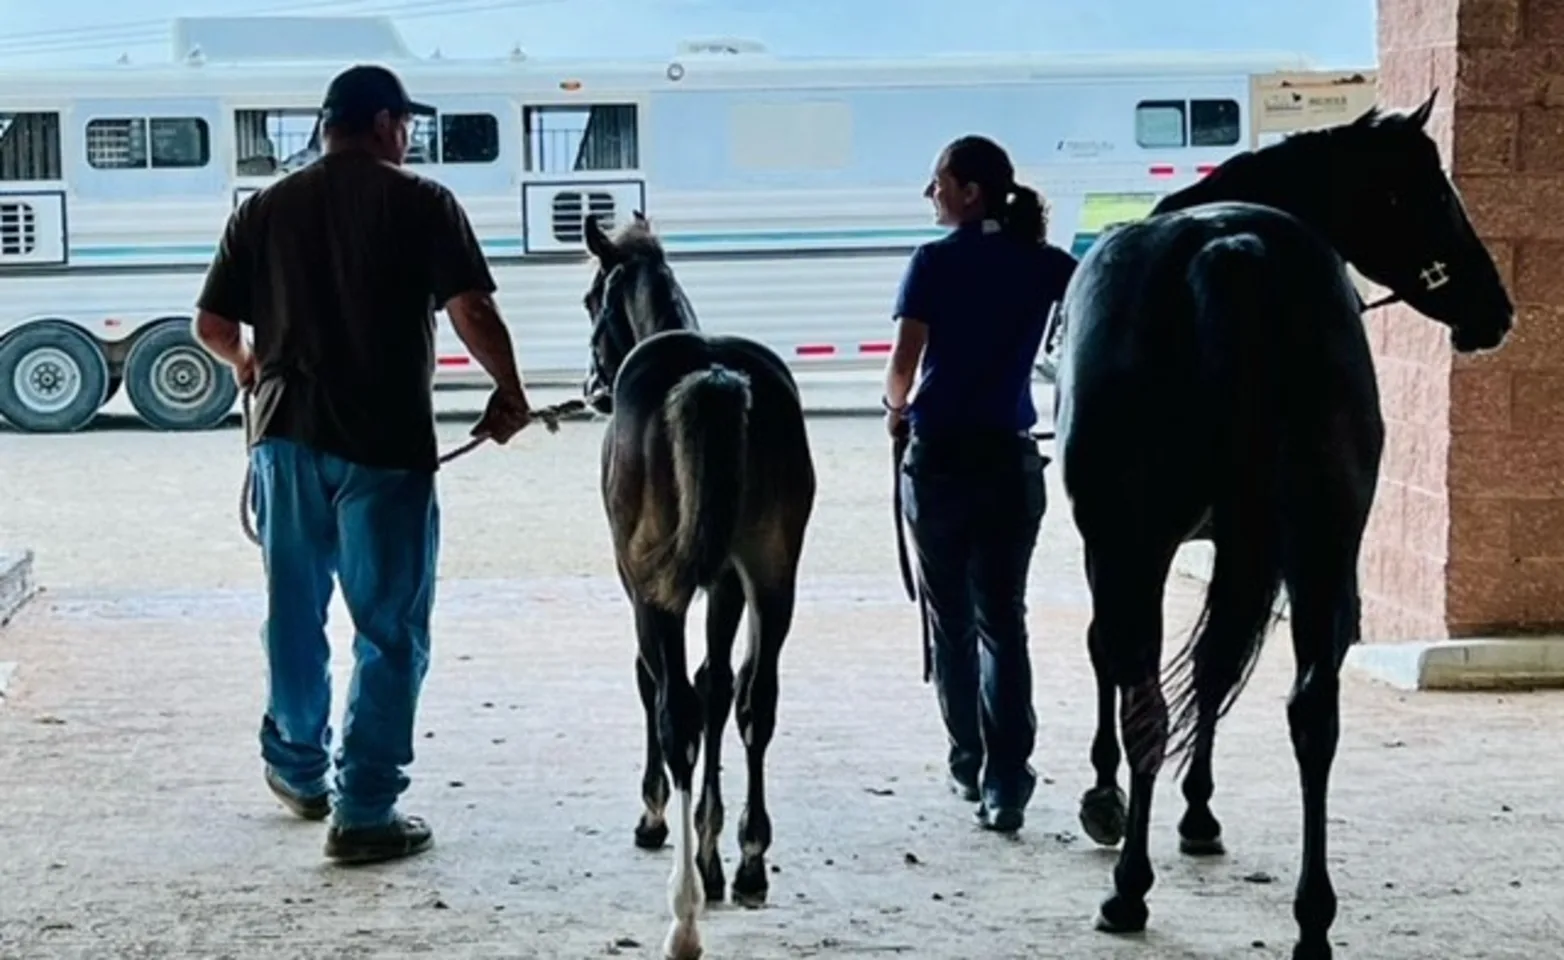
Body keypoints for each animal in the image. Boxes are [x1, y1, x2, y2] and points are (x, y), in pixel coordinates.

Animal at [581, 214, 813, 956]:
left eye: (592, 300)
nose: (592, 388)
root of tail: (712, 376)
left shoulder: (641, 584)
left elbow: (657, 683)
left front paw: (657, 819)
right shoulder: (729, 584)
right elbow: (717, 687)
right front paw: (716, 852)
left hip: (661, 587)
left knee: (674, 707)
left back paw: (683, 913)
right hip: (773, 574)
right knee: (755, 700)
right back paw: (749, 861)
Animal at [1051, 92, 1513, 960]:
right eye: (1431, 192)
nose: (1495, 309)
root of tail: (1230, 250)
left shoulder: (1119, 547)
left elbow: (1127, 659)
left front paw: (1116, 802)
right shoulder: (1248, 545)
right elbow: (1214, 664)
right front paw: (1193, 812)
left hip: (1148, 541)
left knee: (1146, 700)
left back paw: (1129, 891)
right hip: (1321, 541)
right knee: (1310, 714)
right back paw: (1312, 920)